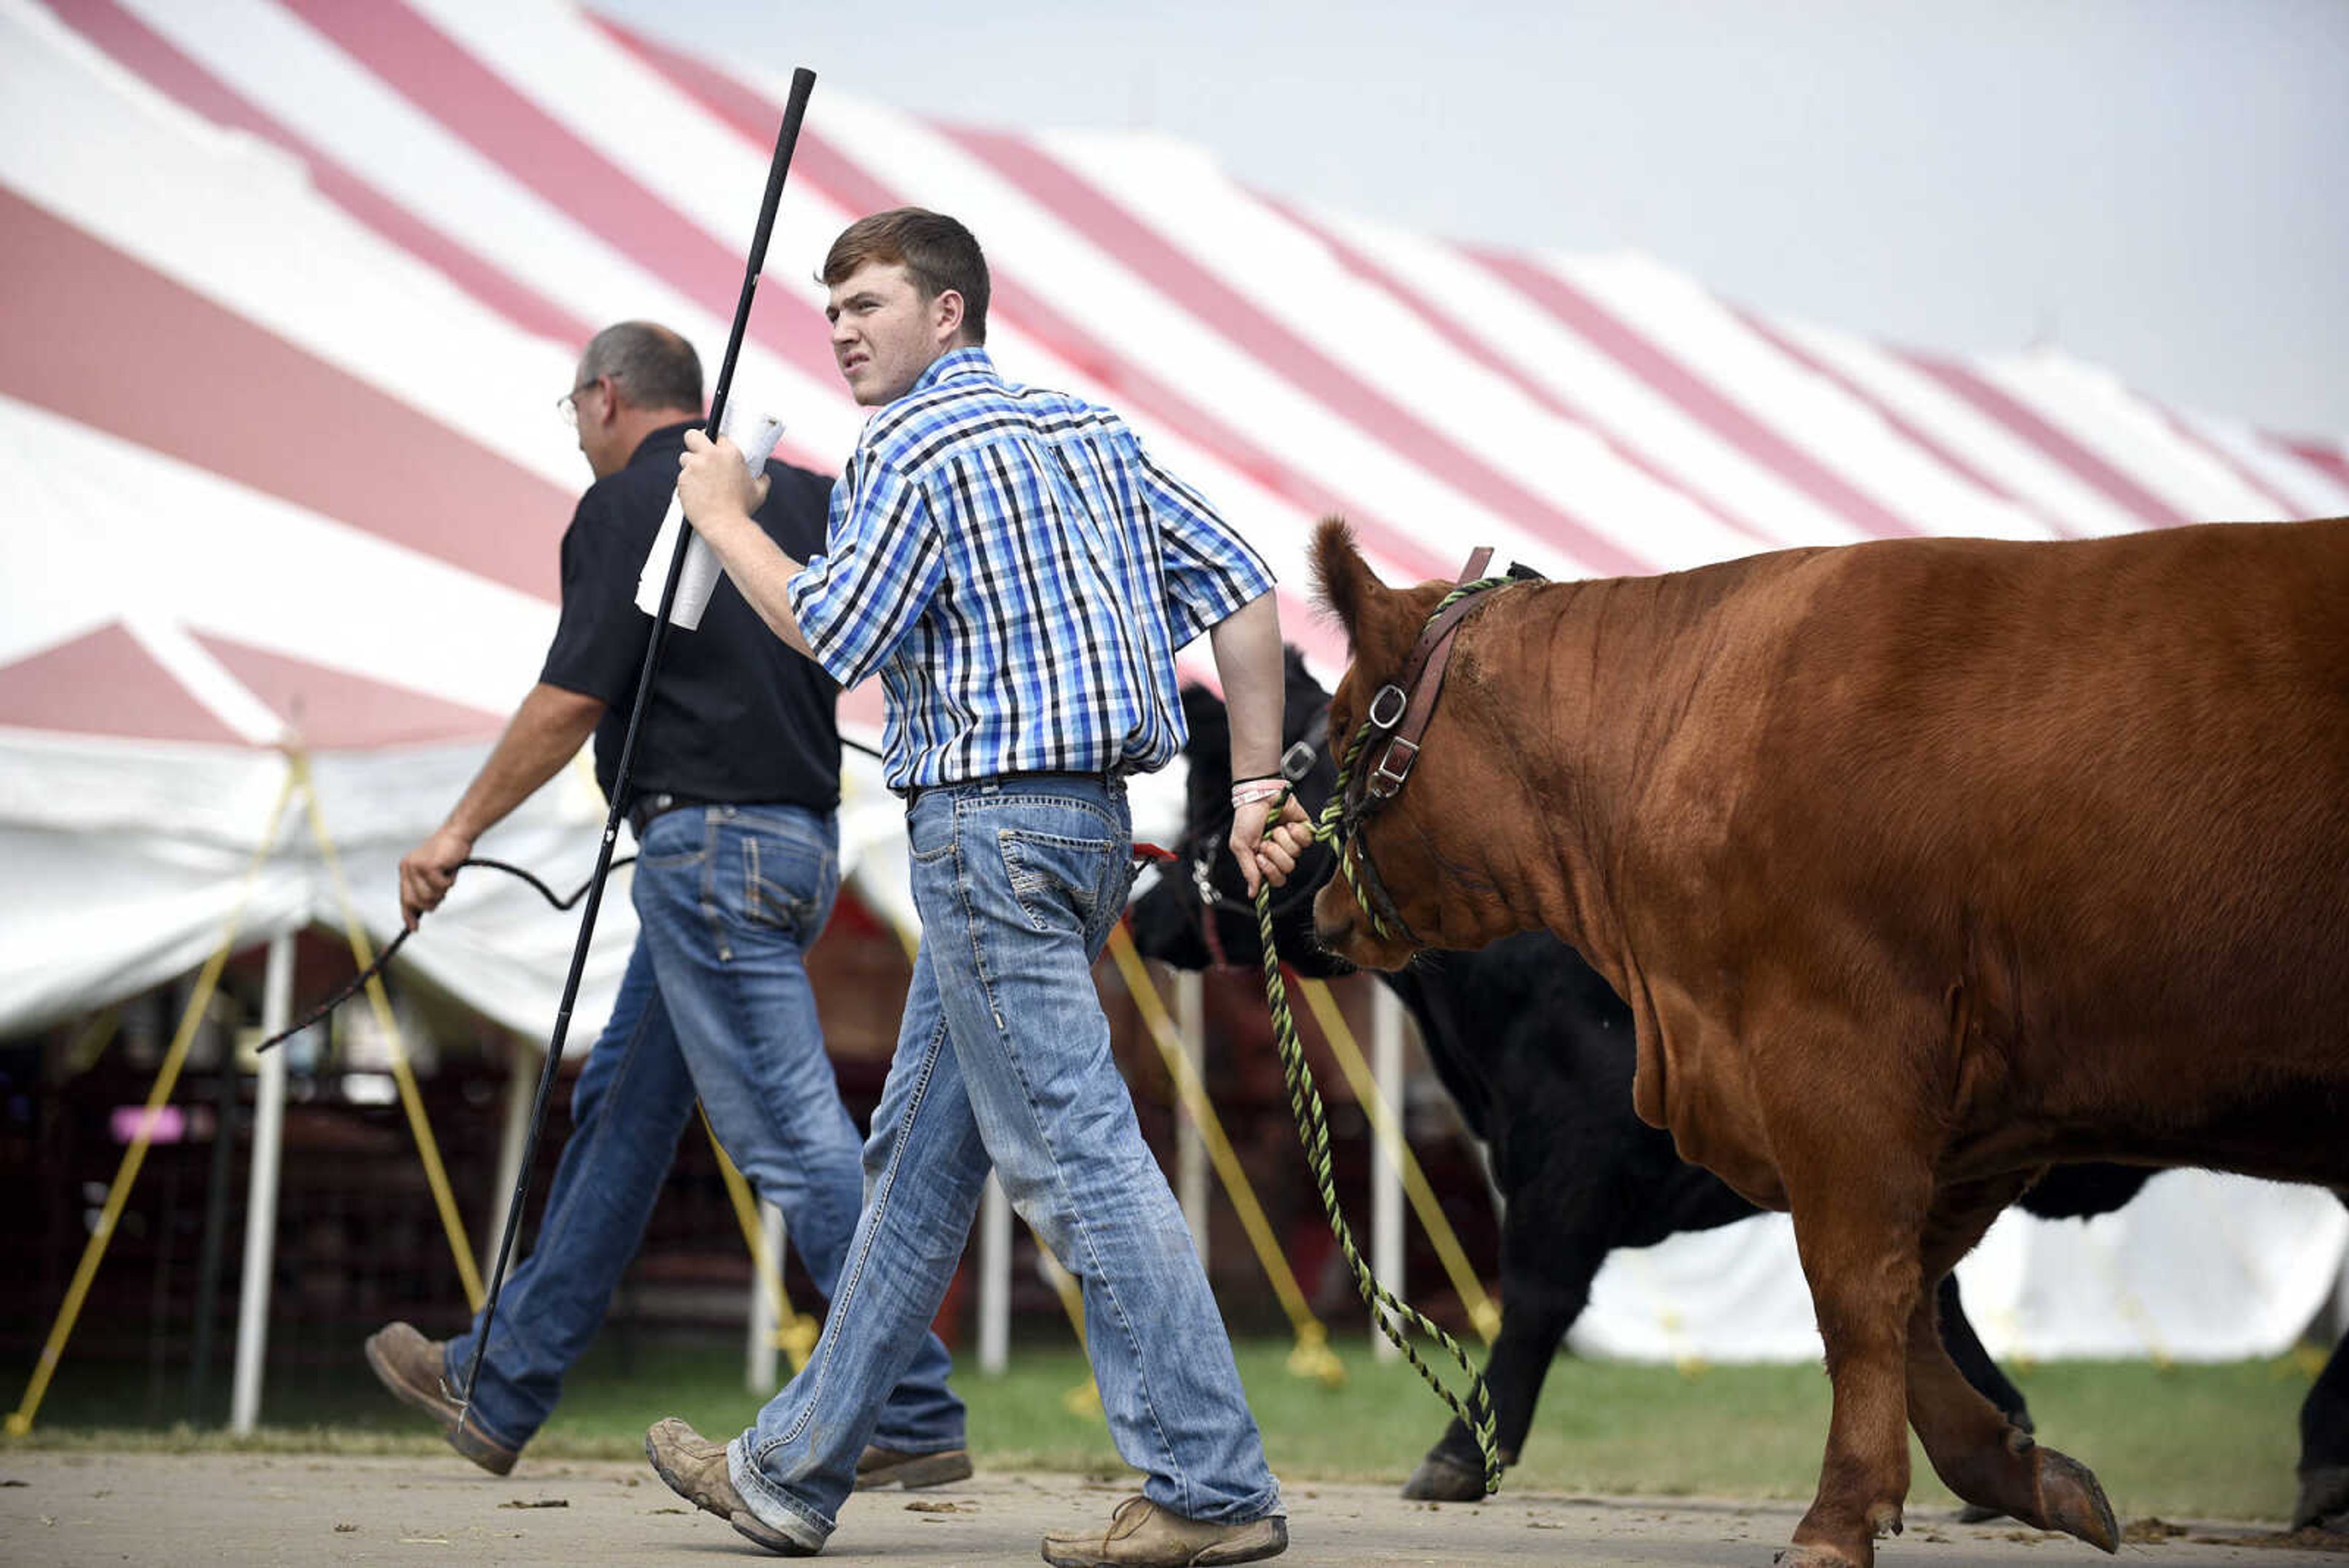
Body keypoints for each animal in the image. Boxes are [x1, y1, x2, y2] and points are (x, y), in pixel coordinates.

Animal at [1306, 517, 2349, 1568]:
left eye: (1346, 727)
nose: (1316, 906)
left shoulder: (1831, 1064)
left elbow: (1852, 1292)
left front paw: (1836, 1517)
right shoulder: (1976, 1111)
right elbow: (1916, 1301)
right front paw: (2023, 1470)